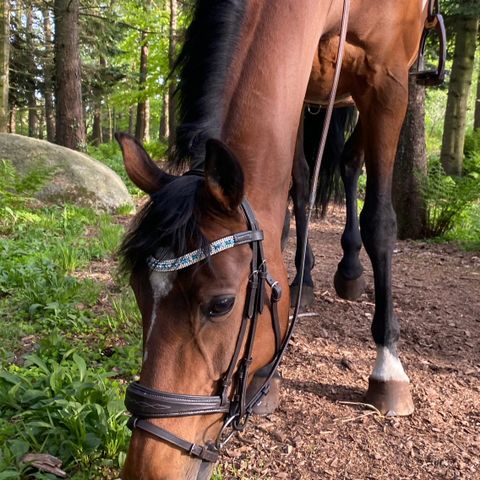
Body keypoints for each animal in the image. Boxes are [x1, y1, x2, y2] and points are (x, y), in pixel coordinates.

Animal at [117, 0, 436, 478]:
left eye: (221, 304)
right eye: (138, 291)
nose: (146, 464)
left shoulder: (388, 79)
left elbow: (380, 220)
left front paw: (388, 368)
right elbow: (291, 189)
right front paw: (268, 379)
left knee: (350, 162)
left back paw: (350, 273)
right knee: (310, 179)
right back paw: (312, 280)